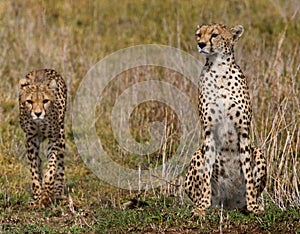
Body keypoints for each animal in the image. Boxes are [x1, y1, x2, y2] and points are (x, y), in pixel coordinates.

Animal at [18, 68, 67, 207]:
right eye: (30, 101)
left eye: (45, 101)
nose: (38, 113)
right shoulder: (31, 139)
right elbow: (34, 168)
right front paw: (38, 194)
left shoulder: (54, 138)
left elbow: (51, 166)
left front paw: (46, 192)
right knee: (39, 160)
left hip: (61, 133)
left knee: (60, 164)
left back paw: (57, 191)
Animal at [184, 23, 266, 216]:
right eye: (198, 34)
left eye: (214, 35)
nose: (200, 44)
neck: (219, 69)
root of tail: (228, 204)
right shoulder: (208, 131)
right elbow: (206, 172)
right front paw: (201, 207)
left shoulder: (243, 131)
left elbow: (248, 174)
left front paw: (253, 206)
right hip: (197, 154)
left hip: (259, 152)